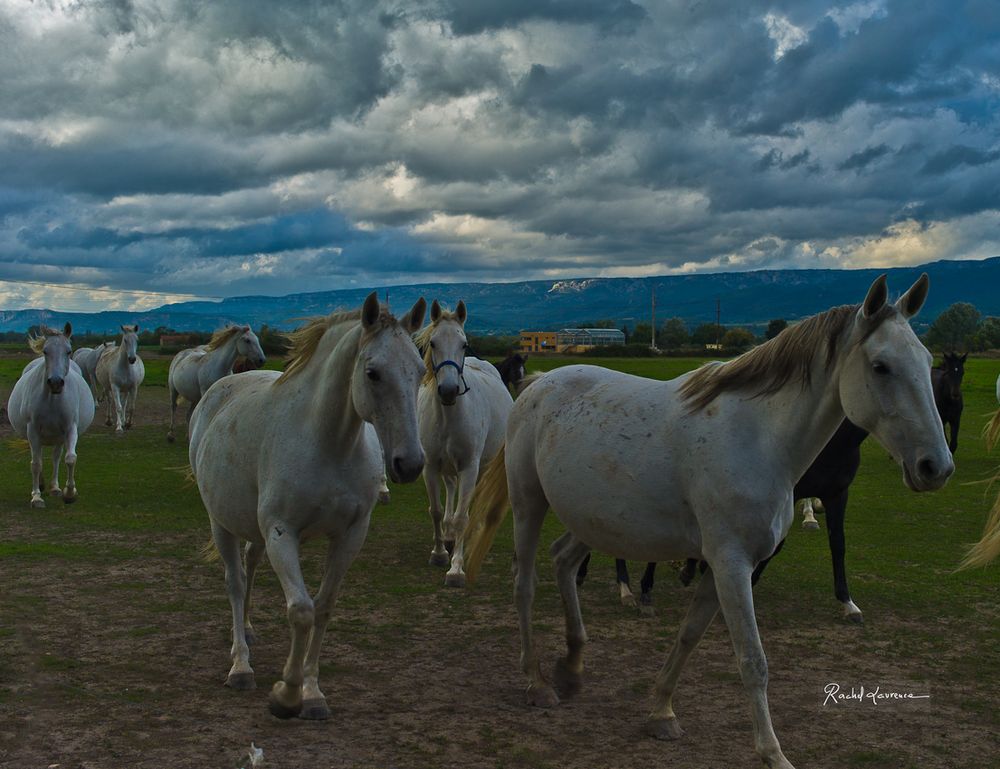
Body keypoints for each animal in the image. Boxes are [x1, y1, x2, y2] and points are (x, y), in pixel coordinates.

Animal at [7, 322, 94, 508]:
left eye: (68, 351)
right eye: (46, 351)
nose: (55, 382)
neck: (52, 399)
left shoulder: (70, 428)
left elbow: (70, 458)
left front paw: (70, 494)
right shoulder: (33, 430)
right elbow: (36, 463)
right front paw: (36, 497)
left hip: (59, 437)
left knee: (56, 457)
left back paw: (55, 488)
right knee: (38, 456)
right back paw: (41, 485)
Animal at [188, 292, 426, 720]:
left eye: (420, 369)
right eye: (373, 373)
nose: (410, 463)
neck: (328, 442)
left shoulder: (351, 535)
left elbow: (324, 606)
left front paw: (313, 693)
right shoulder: (282, 532)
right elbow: (301, 610)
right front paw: (287, 694)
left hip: (254, 530)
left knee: (249, 567)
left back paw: (248, 629)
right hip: (222, 523)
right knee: (235, 582)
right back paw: (240, 664)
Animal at [414, 296, 512, 584]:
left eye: (464, 343)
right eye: (433, 343)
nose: (448, 390)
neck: (448, 415)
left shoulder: (469, 466)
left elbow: (461, 517)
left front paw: (456, 569)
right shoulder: (431, 466)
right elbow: (436, 510)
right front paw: (438, 553)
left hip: (481, 466)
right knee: (450, 492)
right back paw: (447, 538)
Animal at [464, 276, 948, 768]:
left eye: (928, 362)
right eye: (881, 366)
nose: (935, 467)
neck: (760, 439)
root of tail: (539, 384)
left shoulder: (726, 566)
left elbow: (689, 636)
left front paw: (661, 712)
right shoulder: (731, 563)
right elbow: (753, 660)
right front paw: (773, 753)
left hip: (596, 520)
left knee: (562, 561)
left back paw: (573, 666)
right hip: (529, 504)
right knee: (525, 585)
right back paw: (538, 682)